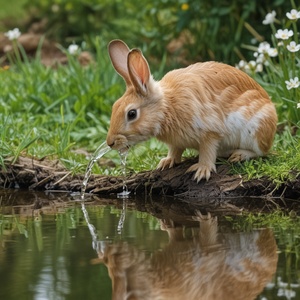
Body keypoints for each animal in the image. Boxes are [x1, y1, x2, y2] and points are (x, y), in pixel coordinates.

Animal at [106, 39, 278, 180]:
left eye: (132, 114)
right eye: (114, 106)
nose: (110, 143)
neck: (167, 107)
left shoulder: (210, 132)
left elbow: (208, 152)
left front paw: (202, 171)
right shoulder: (176, 142)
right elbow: (175, 150)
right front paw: (166, 162)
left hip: (257, 128)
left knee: (261, 152)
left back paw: (239, 155)